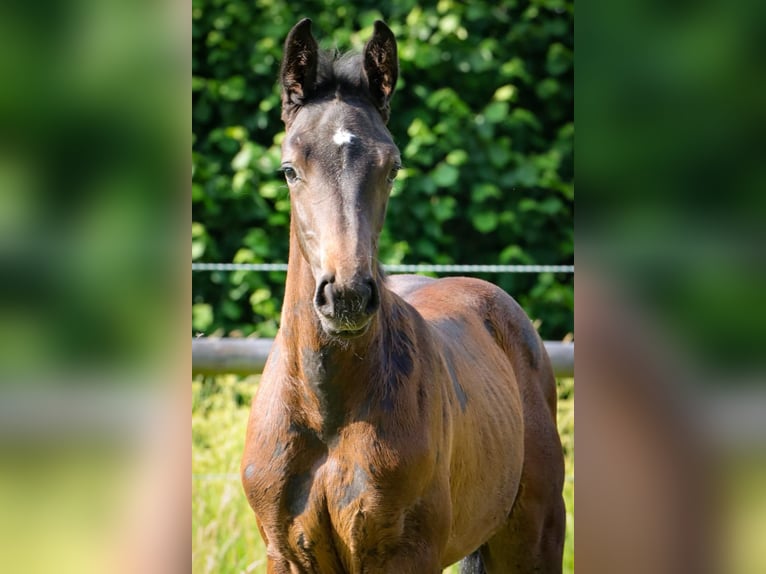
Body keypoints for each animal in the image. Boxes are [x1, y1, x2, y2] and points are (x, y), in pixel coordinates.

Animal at [241, 19, 565, 573]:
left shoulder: (405, 555)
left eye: (391, 167)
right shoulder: (286, 555)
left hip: (535, 540)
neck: (325, 412)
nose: (346, 296)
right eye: (289, 168)